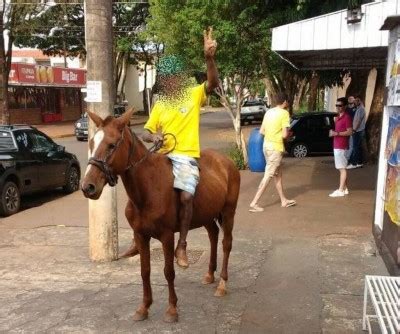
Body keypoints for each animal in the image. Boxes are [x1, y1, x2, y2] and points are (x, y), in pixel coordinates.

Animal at [79, 110, 239, 324]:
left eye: (112, 145)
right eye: (91, 143)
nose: (88, 187)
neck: (147, 189)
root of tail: (227, 161)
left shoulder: (167, 236)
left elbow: (168, 272)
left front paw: (172, 309)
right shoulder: (141, 235)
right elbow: (145, 271)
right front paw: (144, 307)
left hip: (229, 212)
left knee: (226, 244)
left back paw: (222, 283)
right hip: (207, 214)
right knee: (213, 235)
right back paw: (209, 275)